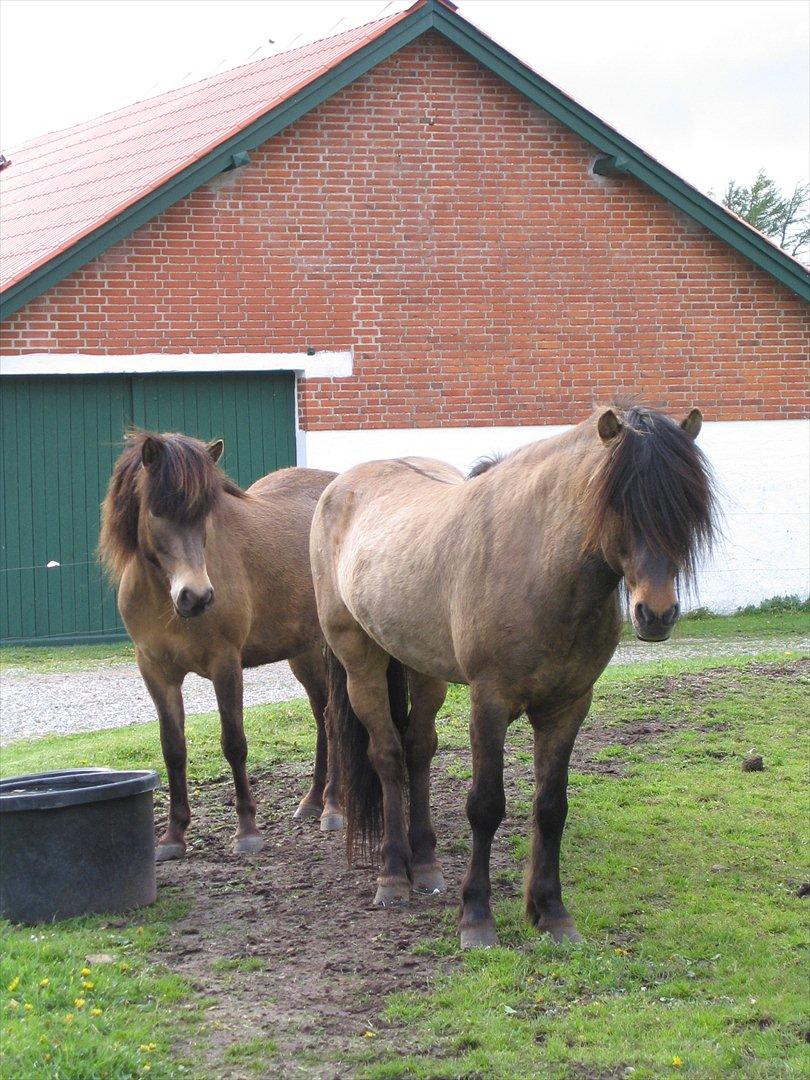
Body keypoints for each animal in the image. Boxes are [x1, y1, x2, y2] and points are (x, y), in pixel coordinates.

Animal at [99, 429, 341, 859]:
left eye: (203, 514)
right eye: (157, 511)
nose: (195, 597)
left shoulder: (225, 664)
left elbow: (234, 743)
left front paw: (247, 831)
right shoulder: (155, 671)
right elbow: (173, 749)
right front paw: (173, 836)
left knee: (335, 719)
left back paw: (332, 806)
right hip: (305, 653)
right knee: (322, 716)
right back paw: (312, 801)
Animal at [311, 403, 717, 946]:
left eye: (685, 506)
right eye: (618, 504)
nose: (656, 614)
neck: (538, 567)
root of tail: (338, 487)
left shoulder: (568, 706)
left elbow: (550, 807)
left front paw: (551, 913)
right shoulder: (489, 702)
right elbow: (486, 805)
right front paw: (477, 917)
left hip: (423, 669)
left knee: (418, 750)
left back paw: (426, 865)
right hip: (360, 661)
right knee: (389, 757)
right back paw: (393, 874)